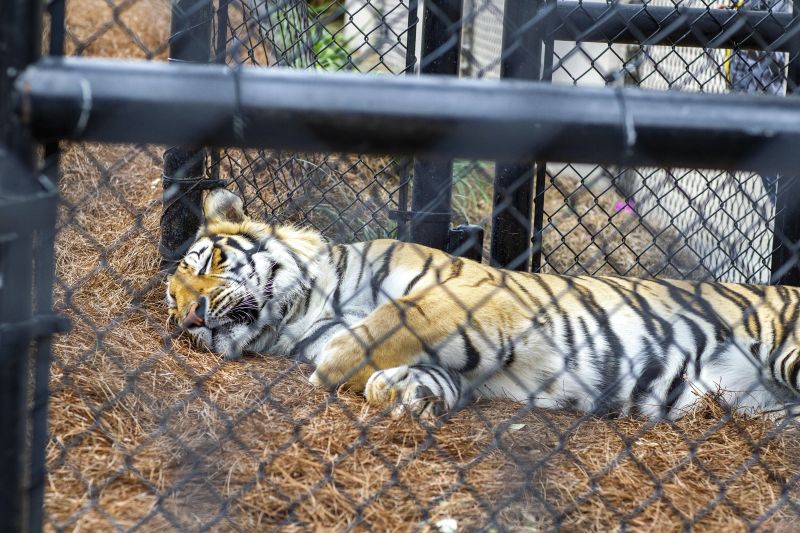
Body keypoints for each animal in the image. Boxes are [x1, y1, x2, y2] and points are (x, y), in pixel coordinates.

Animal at [167, 189, 800, 418]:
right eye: (172, 308)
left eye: (207, 264)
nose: (191, 318)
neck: (307, 310)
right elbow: (423, 373)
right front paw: (404, 393)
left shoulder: (473, 295)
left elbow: (394, 317)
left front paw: (338, 366)